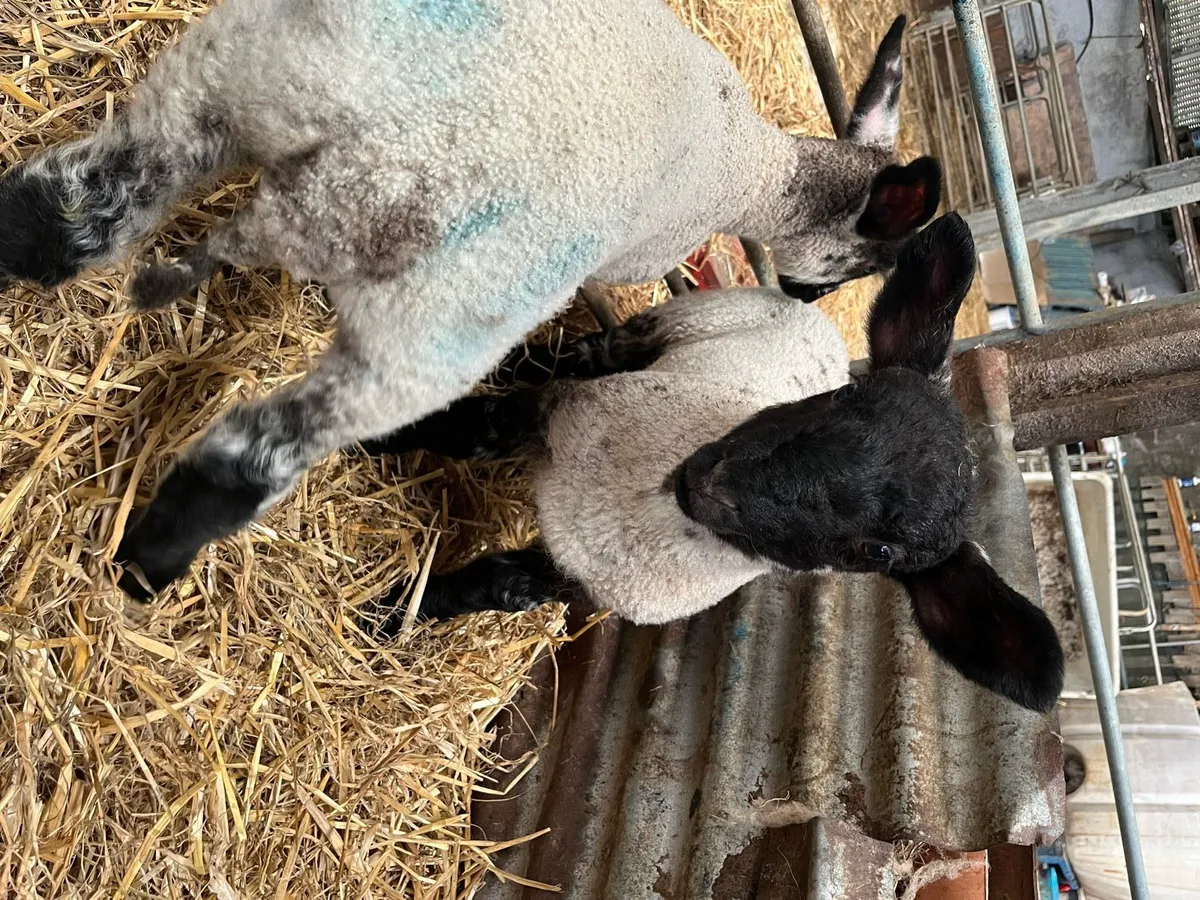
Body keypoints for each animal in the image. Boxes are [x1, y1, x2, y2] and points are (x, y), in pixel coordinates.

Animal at [0, 0, 941, 599]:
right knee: (254, 451)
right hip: (437, 322)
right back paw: (147, 561)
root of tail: (351, 169)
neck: (751, 172)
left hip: (223, 81)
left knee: (72, 206)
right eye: (861, 266)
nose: (805, 296)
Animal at [364, 214, 1066, 714]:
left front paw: (384, 622)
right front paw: (373, 436)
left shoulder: (574, 579)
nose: (710, 481)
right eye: (847, 398)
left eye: (879, 552)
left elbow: (491, 584)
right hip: (669, 324)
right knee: (582, 353)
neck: (638, 512)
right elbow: (467, 428)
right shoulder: (551, 416)